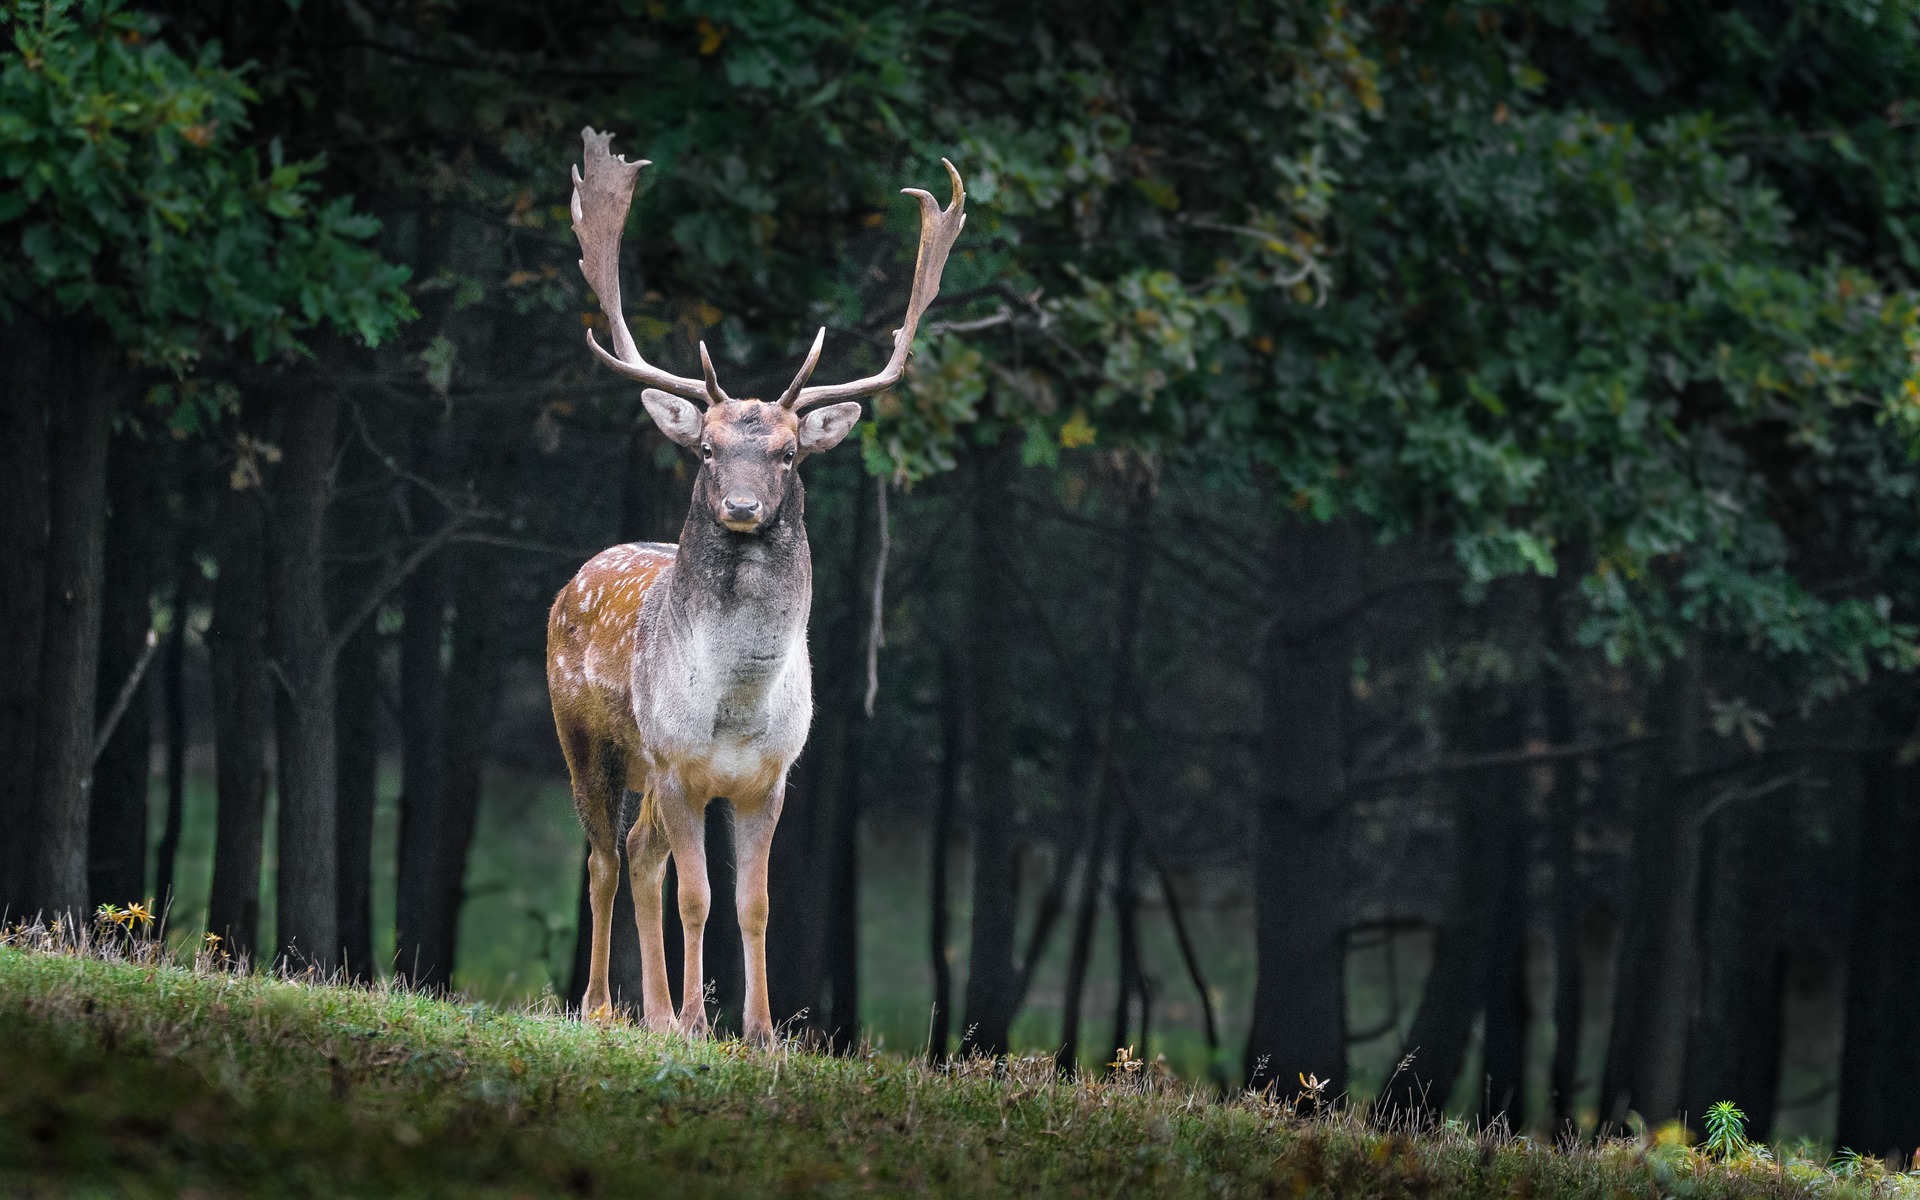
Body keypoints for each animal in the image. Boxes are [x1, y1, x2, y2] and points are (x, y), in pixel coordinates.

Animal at [548, 128, 965, 1044]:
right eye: (706, 448)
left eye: (788, 453)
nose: (740, 506)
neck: (736, 706)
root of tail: (576, 579)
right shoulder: (677, 765)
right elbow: (698, 898)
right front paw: (699, 1023)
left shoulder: (770, 778)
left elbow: (755, 903)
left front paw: (762, 1030)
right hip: (586, 738)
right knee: (603, 858)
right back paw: (603, 1007)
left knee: (638, 856)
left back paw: (653, 1013)